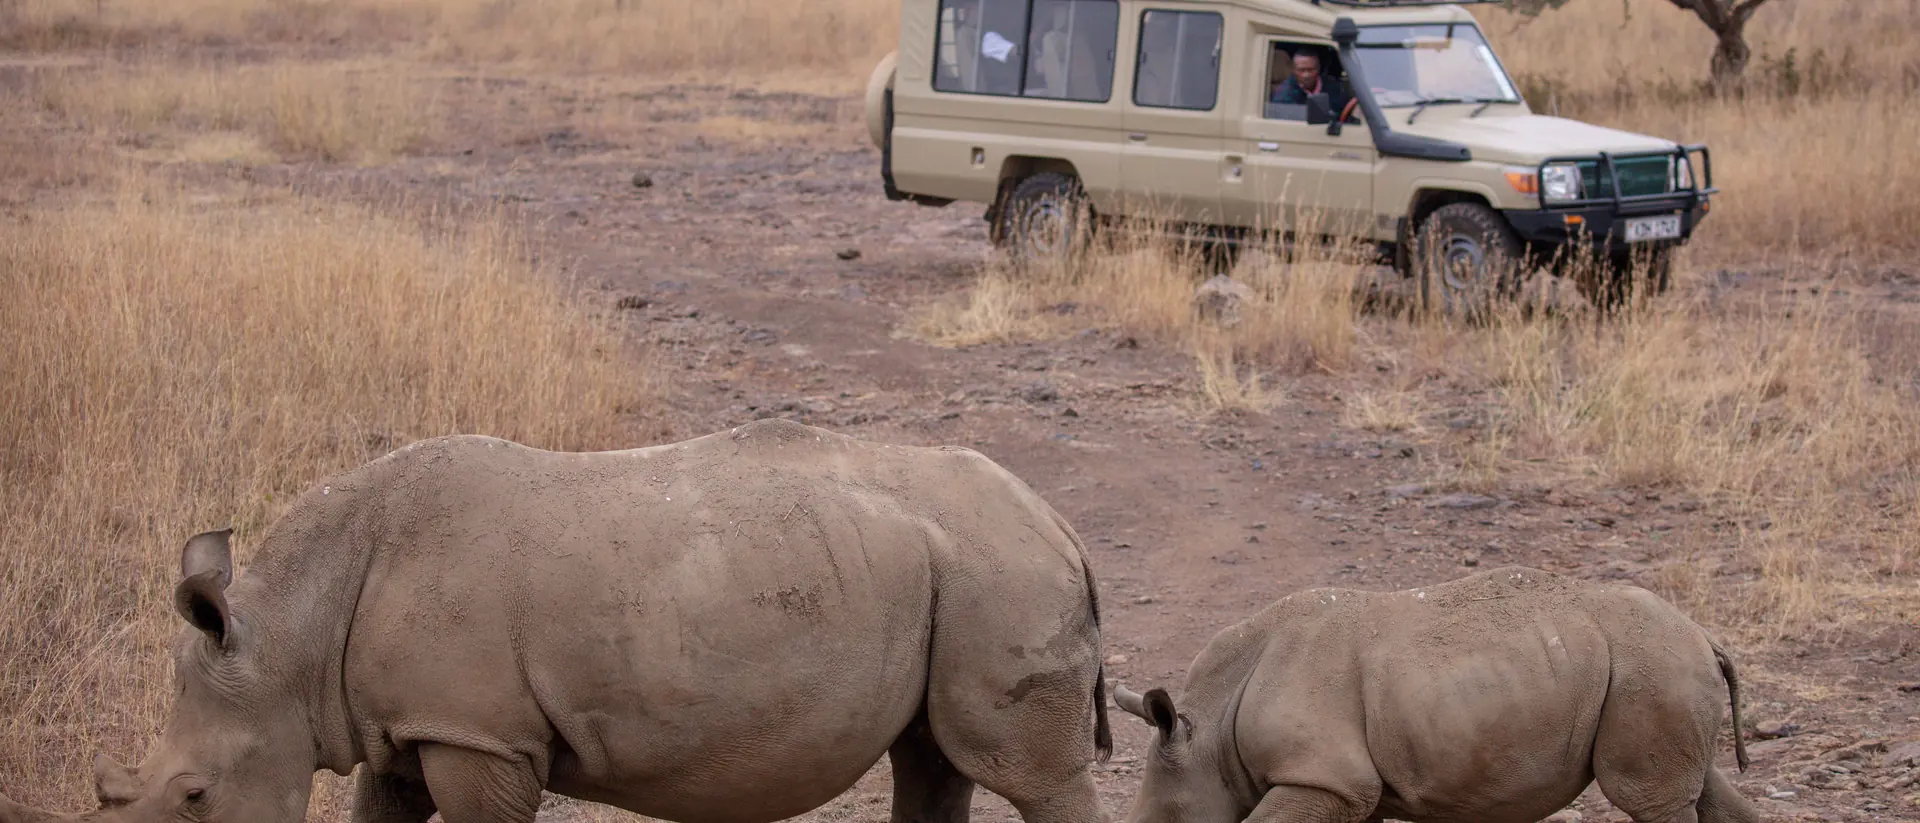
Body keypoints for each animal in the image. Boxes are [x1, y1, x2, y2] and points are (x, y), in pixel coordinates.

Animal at [0, 419, 1114, 823]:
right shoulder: (410, 724)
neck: (292, 636)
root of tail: (1060, 521)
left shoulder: (480, 735)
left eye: (193, 795)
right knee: (934, 757)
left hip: (1002, 578)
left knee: (1030, 774)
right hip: (957, 576)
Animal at [1109, 567, 1759, 823]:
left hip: (1651, 667)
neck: (1209, 730)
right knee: (1693, 788)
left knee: (1650, 800)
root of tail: (1704, 635)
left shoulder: (1325, 779)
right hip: (1658, 673)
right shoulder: (1347, 790)